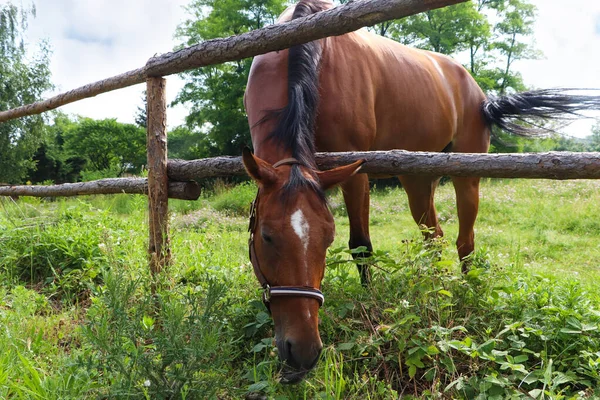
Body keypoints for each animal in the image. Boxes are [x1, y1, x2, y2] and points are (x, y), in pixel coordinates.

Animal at [241, 0, 596, 382]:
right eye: (267, 236)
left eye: (327, 238)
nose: (303, 353)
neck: (310, 51)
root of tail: (479, 93)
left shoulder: (355, 174)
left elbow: (361, 247)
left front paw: (369, 306)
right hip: (418, 178)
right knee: (434, 236)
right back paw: (433, 283)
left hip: (466, 176)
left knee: (464, 241)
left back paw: (465, 290)